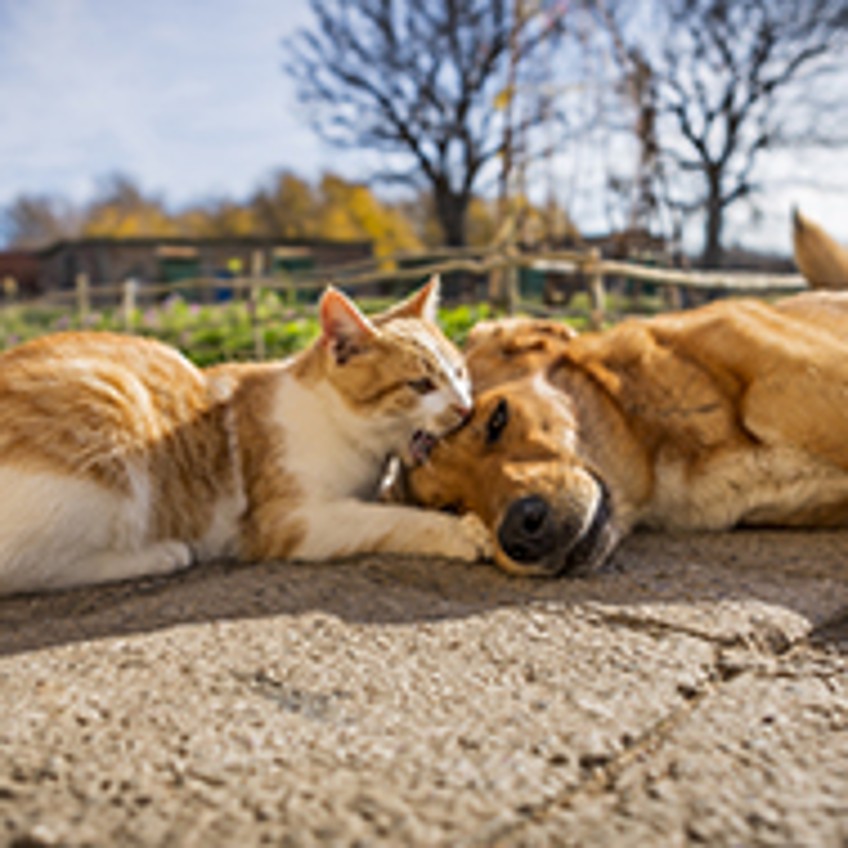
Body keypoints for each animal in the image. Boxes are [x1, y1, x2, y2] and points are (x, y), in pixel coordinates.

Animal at [0, 274, 490, 592]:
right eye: (421, 385)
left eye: (460, 373)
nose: (465, 408)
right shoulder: (291, 521)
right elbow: (387, 520)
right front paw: (461, 532)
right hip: (113, 410)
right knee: (27, 568)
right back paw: (159, 555)